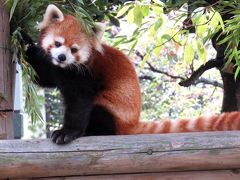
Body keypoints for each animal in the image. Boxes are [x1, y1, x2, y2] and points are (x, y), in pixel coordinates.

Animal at [23, 4, 240, 145]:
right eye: (57, 43)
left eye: (74, 49)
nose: (61, 57)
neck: (63, 68)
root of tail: (132, 124)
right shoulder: (54, 69)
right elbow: (43, 78)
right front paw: (24, 42)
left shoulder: (84, 75)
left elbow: (80, 102)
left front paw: (67, 133)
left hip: (114, 110)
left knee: (99, 110)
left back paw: (92, 132)